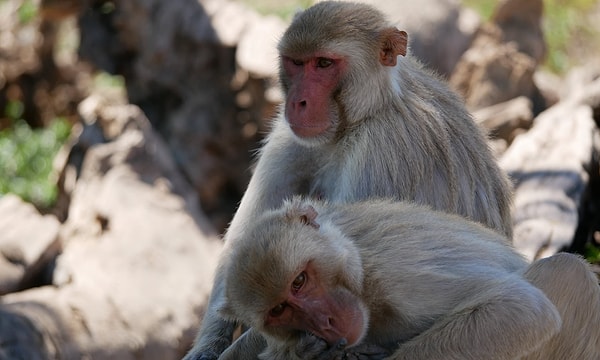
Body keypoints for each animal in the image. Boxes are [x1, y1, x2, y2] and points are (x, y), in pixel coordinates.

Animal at [182, 1, 510, 358]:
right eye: (296, 63)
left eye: (324, 63)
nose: (297, 102)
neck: (365, 113)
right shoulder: (289, 134)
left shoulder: (381, 150)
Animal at [216, 198, 600, 358]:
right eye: (279, 310)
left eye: (299, 281)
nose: (324, 322)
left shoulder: (398, 272)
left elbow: (522, 309)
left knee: (567, 272)